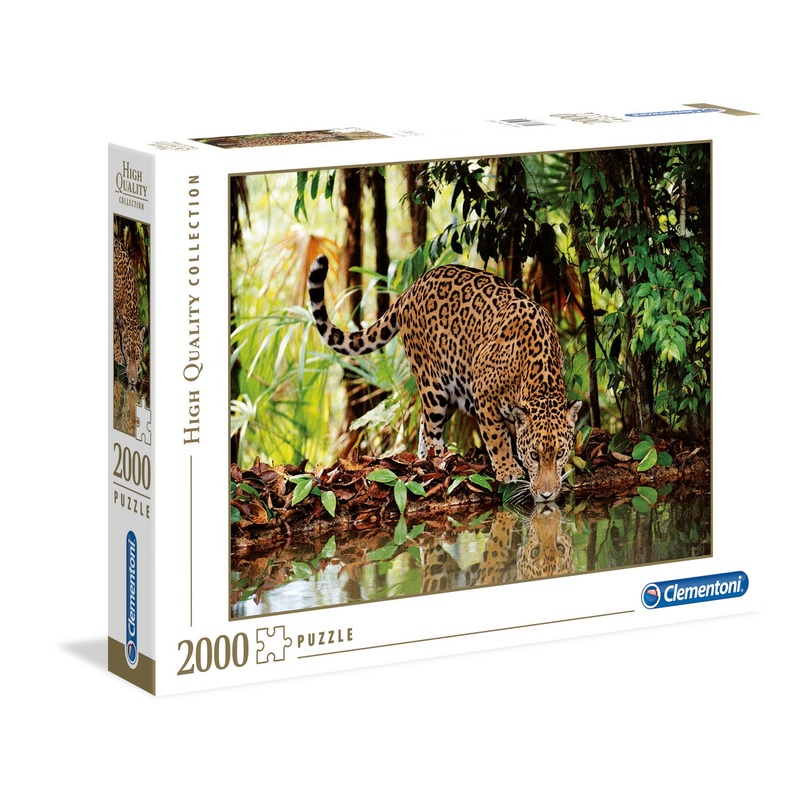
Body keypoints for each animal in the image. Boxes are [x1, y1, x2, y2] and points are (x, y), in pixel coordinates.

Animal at [308, 255, 582, 502]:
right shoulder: (484, 395)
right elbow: (497, 438)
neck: (538, 379)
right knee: (431, 428)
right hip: (433, 384)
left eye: (560, 454)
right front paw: (509, 470)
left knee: (422, 424)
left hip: (450, 392)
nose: (547, 495)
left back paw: (423, 460)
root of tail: (411, 289)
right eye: (535, 456)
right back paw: (438, 461)